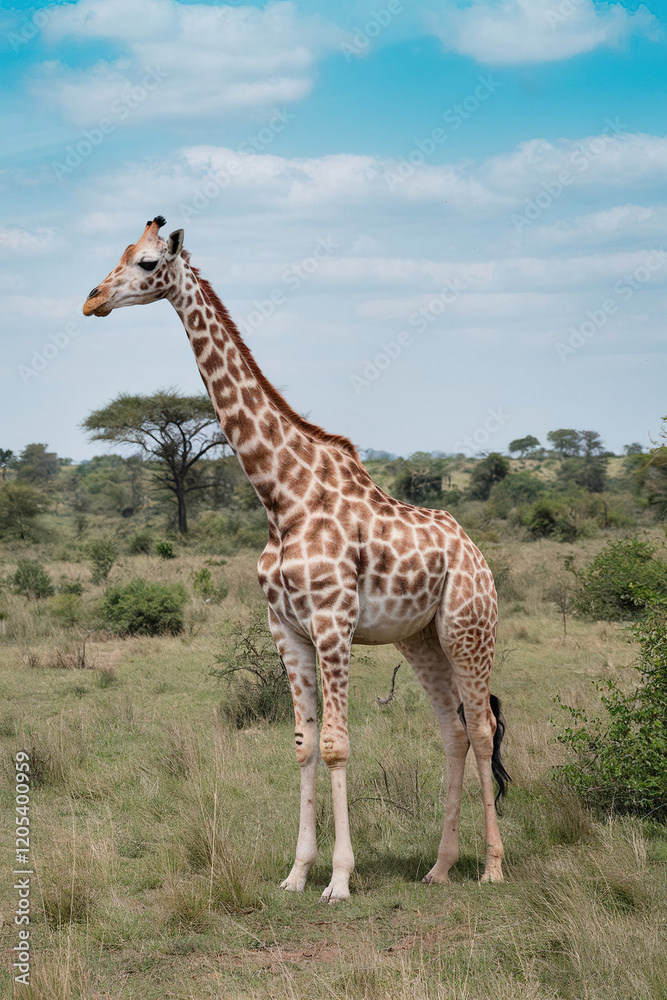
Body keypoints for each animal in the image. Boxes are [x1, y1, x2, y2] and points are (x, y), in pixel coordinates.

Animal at [83, 217, 510, 902]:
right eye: (119, 254)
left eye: (147, 262)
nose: (91, 299)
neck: (280, 495)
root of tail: (476, 553)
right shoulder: (286, 628)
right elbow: (304, 746)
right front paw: (297, 872)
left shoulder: (333, 624)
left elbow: (336, 746)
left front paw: (339, 879)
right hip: (421, 638)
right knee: (451, 728)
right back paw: (440, 867)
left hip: (470, 629)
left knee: (480, 728)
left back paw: (493, 867)